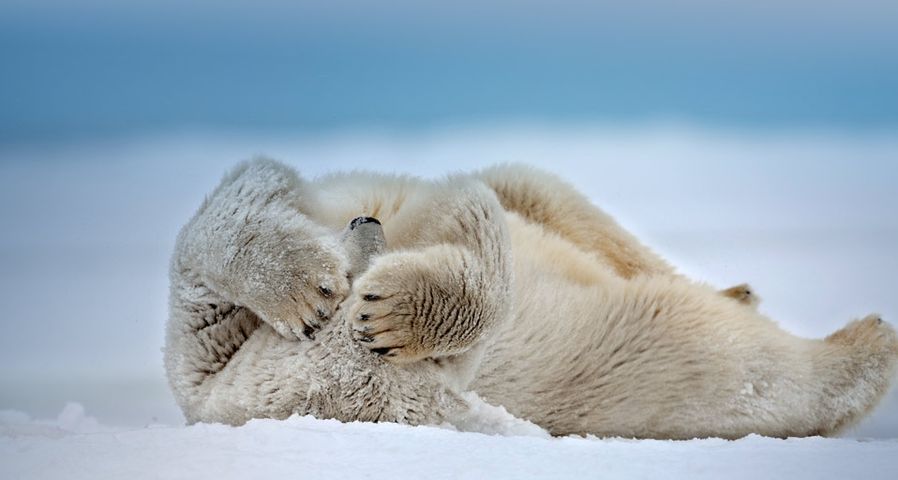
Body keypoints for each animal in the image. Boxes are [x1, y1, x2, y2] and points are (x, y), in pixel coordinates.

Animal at [163, 158, 896, 438]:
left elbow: (248, 193)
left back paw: (740, 289)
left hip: (546, 202)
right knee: (737, 364)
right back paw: (865, 341)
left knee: (555, 199)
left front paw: (323, 292)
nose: (366, 223)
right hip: (640, 363)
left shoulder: (212, 342)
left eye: (362, 266)